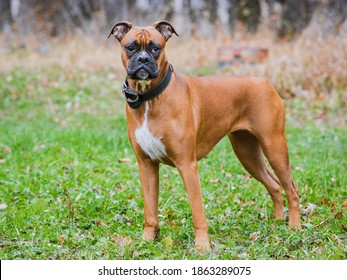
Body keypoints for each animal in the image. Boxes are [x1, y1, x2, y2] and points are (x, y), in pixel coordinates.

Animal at [109, 20, 302, 252]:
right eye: (131, 47)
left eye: (156, 48)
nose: (143, 60)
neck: (150, 98)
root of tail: (264, 82)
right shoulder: (146, 165)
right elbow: (150, 210)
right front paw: (147, 241)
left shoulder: (187, 165)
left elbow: (197, 211)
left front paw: (202, 246)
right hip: (248, 154)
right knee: (274, 185)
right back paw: (277, 223)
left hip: (274, 147)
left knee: (291, 189)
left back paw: (294, 227)